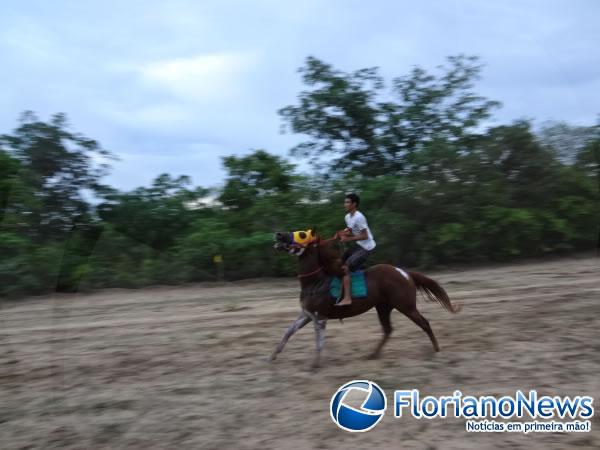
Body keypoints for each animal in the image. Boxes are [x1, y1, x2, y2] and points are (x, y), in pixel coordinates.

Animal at [270, 229, 462, 370]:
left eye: (302, 234)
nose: (278, 234)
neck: (316, 281)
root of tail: (405, 273)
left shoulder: (320, 316)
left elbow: (319, 342)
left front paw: (315, 364)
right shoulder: (307, 314)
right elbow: (288, 331)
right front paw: (273, 355)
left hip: (406, 306)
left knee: (424, 323)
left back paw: (436, 349)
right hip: (383, 307)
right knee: (388, 329)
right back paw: (373, 354)